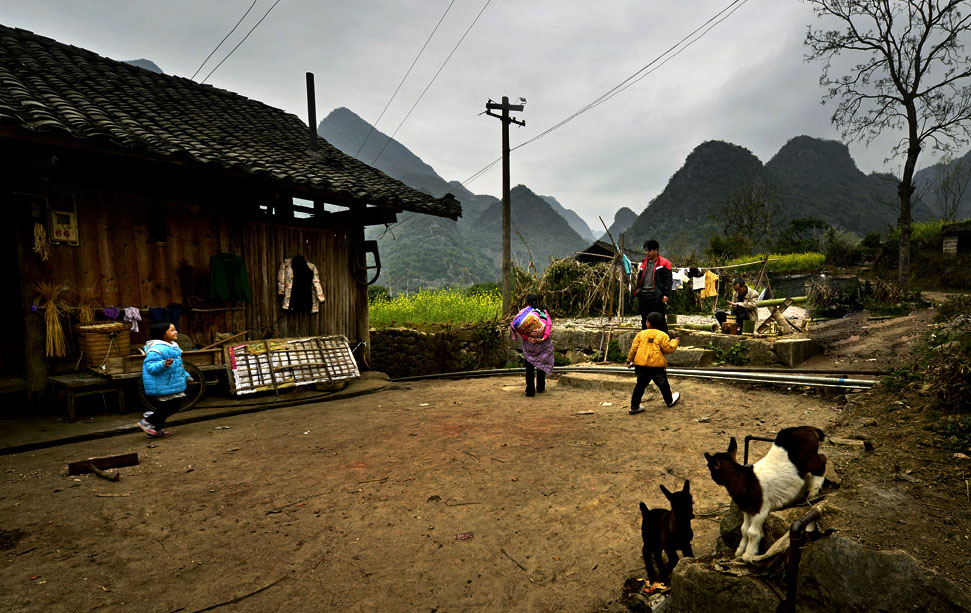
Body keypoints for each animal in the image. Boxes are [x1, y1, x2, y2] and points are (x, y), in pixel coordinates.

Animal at [708, 426, 828, 560]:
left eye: (710, 467)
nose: (713, 478)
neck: (744, 479)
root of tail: (810, 428)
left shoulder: (760, 509)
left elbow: (752, 532)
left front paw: (748, 555)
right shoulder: (748, 510)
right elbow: (744, 529)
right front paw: (739, 552)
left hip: (810, 459)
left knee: (822, 460)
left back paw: (813, 491)